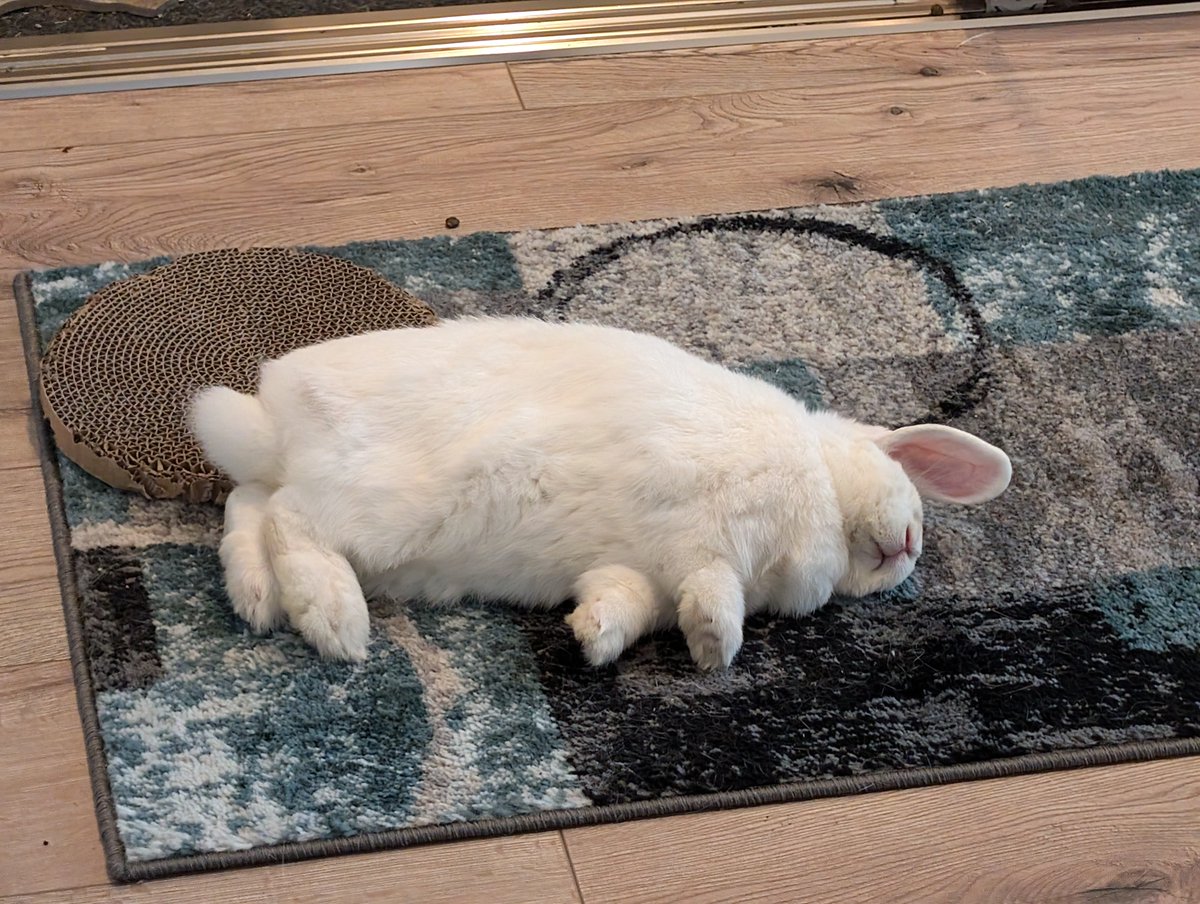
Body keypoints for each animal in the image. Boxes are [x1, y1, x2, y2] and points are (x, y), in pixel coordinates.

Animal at [191, 316, 1012, 671]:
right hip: (377, 505)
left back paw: (258, 599)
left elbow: (633, 601)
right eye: (906, 485)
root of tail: (275, 423)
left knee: (247, 508)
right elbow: (715, 585)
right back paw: (333, 620)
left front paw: (594, 636)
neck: (817, 478)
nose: (909, 548)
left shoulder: (644, 573)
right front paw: (717, 646)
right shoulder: (714, 538)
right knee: (290, 520)